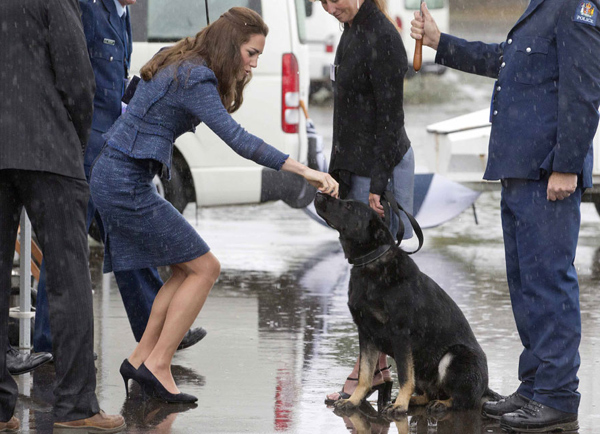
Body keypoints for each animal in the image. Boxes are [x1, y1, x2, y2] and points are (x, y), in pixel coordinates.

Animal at [314, 193, 502, 418]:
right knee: (429, 393)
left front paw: (400, 406)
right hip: (422, 366)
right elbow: (365, 374)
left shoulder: (400, 335)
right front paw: (354, 400)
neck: (371, 262)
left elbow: (403, 375)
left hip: (453, 356)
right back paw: (415, 400)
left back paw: (440, 404)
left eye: (349, 206)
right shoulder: (366, 334)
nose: (318, 194)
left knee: (462, 400)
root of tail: (486, 388)